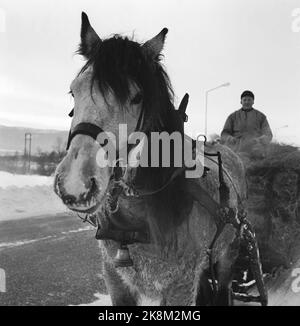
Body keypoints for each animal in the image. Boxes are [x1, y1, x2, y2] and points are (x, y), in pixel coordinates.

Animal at [54, 12, 246, 306]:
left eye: (137, 97)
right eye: (74, 91)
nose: (76, 183)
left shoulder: (181, 283)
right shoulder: (115, 278)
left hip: (229, 253)